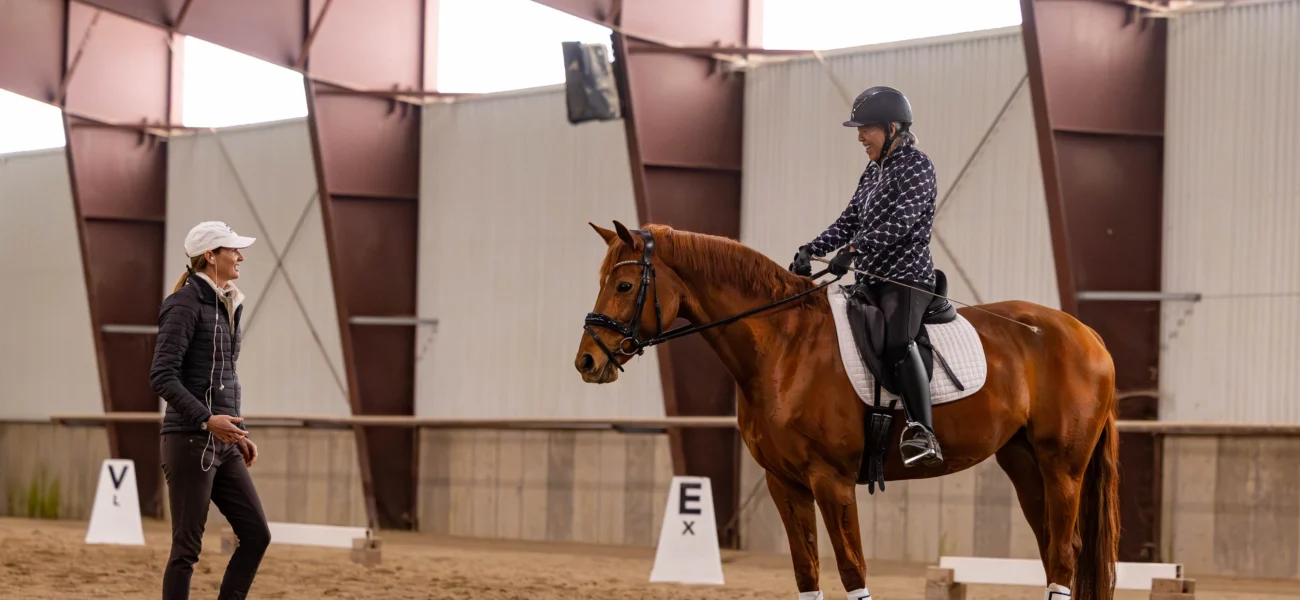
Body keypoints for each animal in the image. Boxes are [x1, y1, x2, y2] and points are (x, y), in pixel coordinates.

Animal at [574, 221, 1120, 600]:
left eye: (624, 286)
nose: (587, 361)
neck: (784, 347)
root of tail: (1087, 334)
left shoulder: (831, 480)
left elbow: (853, 569)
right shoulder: (785, 483)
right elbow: (806, 572)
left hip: (1062, 468)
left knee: (1064, 553)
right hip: (1024, 464)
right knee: (1053, 549)